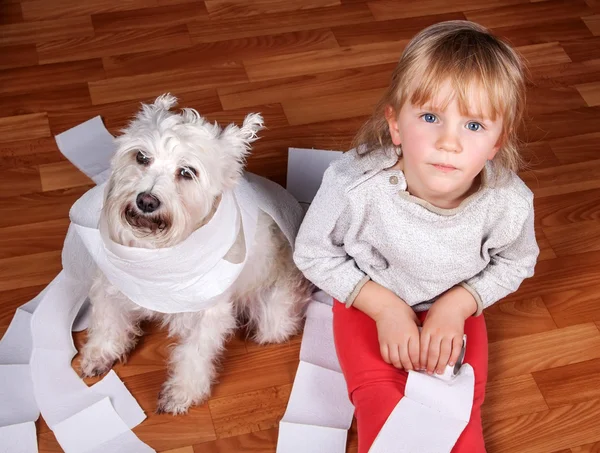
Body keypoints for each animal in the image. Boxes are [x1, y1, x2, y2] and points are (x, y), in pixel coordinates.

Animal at [79, 95, 312, 414]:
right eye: (141, 157)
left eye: (186, 172)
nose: (146, 201)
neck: (160, 255)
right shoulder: (112, 285)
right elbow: (107, 322)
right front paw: (100, 354)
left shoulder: (208, 314)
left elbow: (194, 354)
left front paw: (181, 393)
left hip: (274, 314)